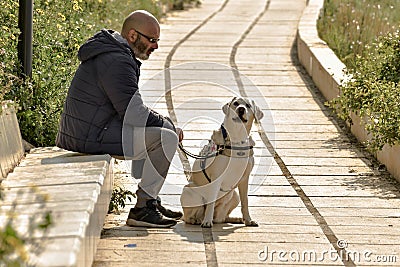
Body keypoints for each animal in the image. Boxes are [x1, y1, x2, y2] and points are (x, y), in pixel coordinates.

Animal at [180, 97, 262, 227]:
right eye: (236, 104)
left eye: (248, 105)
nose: (241, 109)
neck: (237, 139)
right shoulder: (216, 179)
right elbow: (211, 203)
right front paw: (207, 222)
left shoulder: (245, 179)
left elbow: (245, 201)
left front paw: (248, 220)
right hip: (189, 191)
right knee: (189, 217)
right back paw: (198, 220)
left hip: (234, 196)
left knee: (221, 218)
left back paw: (235, 219)